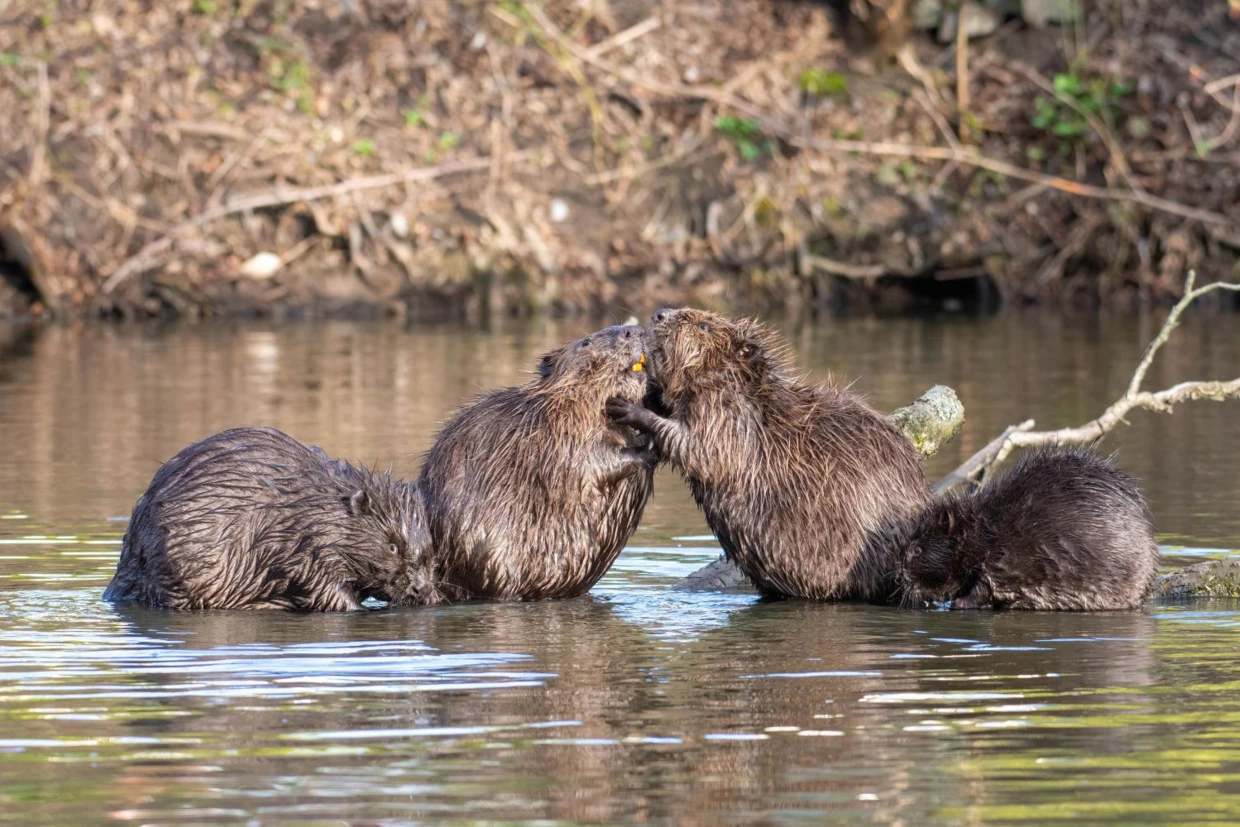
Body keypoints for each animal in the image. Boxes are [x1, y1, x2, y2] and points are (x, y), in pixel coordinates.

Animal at [104, 431, 438, 612]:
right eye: (393, 546)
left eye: (430, 554)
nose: (421, 589)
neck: (320, 506)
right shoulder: (307, 547)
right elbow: (323, 589)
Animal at [600, 307, 932, 597]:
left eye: (704, 326)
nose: (659, 314)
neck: (746, 392)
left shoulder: (729, 415)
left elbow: (702, 451)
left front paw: (627, 408)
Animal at [902, 448, 1160, 612]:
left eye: (916, 550)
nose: (900, 575)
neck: (986, 529)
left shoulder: (1003, 560)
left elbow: (984, 586)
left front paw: (958, 603)